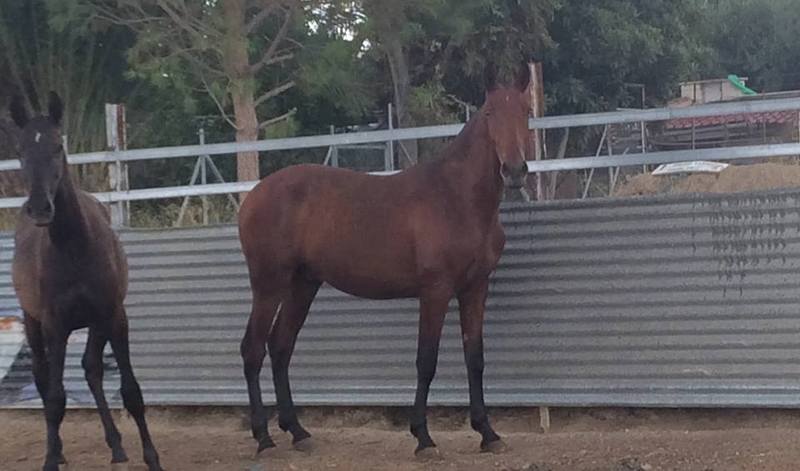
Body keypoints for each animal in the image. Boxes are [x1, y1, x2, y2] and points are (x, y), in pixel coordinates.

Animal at [10, 93, 162, 471]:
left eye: (57, 146)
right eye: (20, 149)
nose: (40, 208)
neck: (76, 247)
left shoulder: (113, 316)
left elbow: (131, 392)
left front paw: (151, 457)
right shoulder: (55, 325)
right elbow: (55, 399)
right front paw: (50, 459)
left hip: (96, 323)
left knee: (92, 369)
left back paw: (117, 446)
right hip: (33, 322)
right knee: (42, 375)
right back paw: (58, 449)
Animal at [238, 62, 532, 459]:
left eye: (526, 112)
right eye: (489, 114)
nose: (514, 171)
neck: (456, 198)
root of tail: (253, 197)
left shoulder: (475, 288)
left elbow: (475, 358)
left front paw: (487, 433)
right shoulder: (436, 290)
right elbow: (426, 360)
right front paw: (423, 437)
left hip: (303, 284)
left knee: (280, 347)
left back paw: (298, 432)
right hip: (269, 284)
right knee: (253, 350)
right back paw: (264, 439)